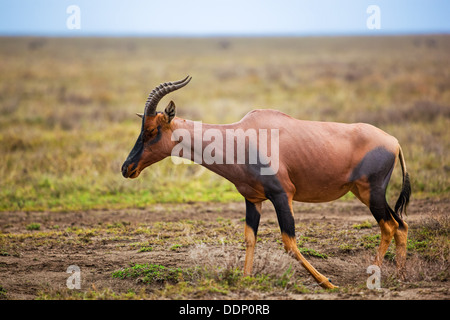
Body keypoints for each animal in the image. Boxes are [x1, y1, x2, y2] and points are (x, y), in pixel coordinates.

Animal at [122, 76, 412, 288]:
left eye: (151, 130)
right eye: (141, 129)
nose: (127, 169)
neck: (242, 136)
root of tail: (394, 141)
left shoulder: (283, 195)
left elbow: (289, 243)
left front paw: (328, 283)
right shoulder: (253, 199)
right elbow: (250, 238)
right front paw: (245, 280)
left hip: (372, 192)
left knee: (388, 226)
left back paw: (372, 278)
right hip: (365, 193)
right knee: (401, 225)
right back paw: (400, 276)